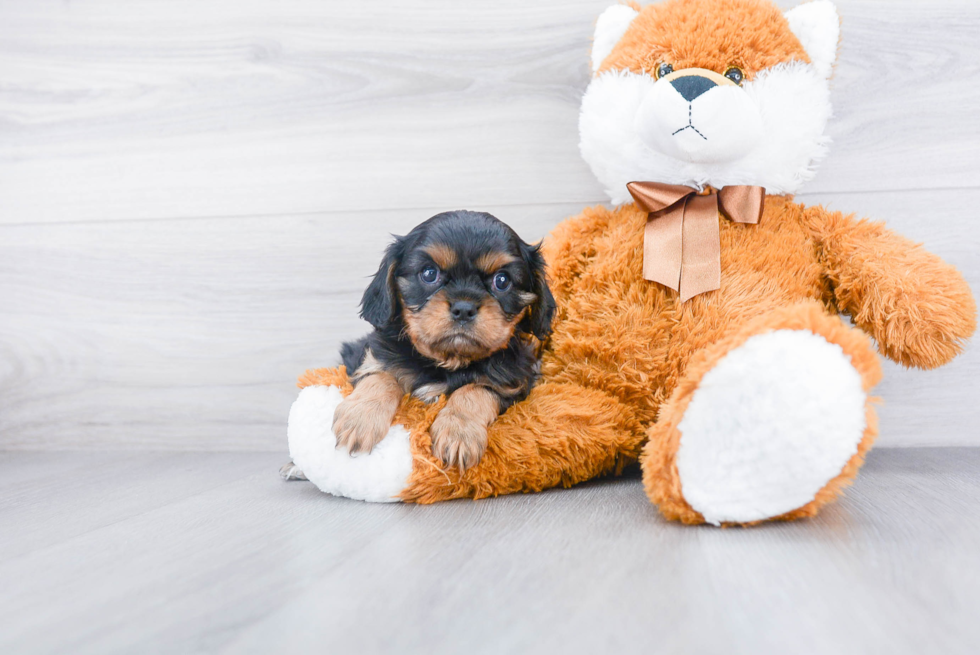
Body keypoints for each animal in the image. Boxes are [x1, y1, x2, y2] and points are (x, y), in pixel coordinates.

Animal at [286, 211, 560, 482]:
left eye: (502, 281)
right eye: (429, 274)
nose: (464, 308)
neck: (447, 361)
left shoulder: (514, 383)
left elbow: (475, 390)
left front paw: (459, 433)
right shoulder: (371, 358)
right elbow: (381, 377)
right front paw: (360, 419)